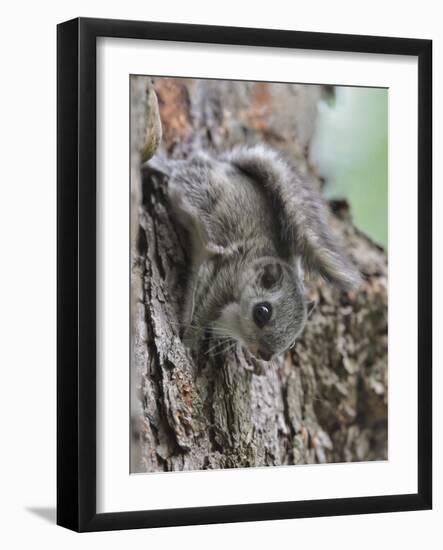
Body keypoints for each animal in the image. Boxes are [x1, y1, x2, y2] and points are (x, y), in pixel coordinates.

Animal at [147, 144, 362, 364]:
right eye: (262, 312)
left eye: (293, 341)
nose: (266, 356)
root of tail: (220, 164)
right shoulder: (222, 276)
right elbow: (199, 310)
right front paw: (188, 342)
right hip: (198, 189)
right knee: (178, 170)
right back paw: (159, 164)